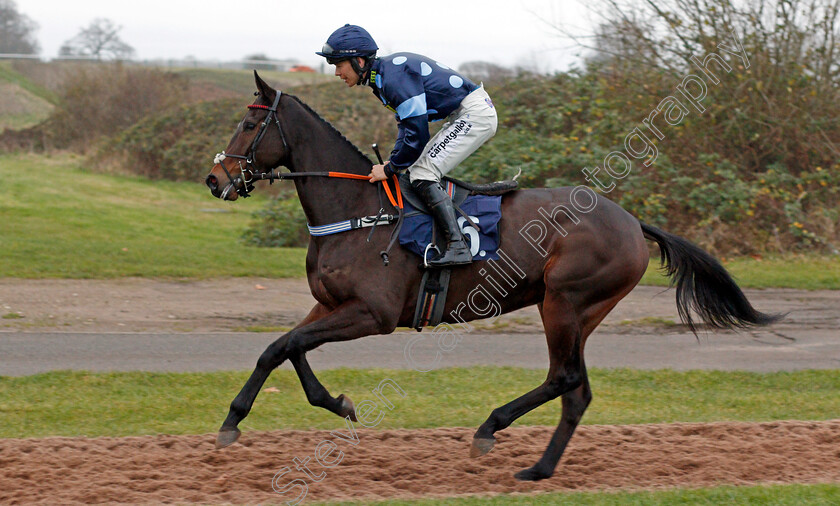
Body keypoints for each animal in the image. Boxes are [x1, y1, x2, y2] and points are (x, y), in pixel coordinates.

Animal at [203, 70, 780, 478]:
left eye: (250, 124)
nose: (215, 179)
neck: (358, 211)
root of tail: (632, 221)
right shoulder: (329, 303)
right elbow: (283, 347)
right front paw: (323, 406)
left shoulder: (373, 314)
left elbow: (286, 345)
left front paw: (241, 421)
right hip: (581, 311)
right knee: (576, 390)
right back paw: (540, 469)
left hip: (565, 302)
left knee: (564, 378)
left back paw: (490, 430)